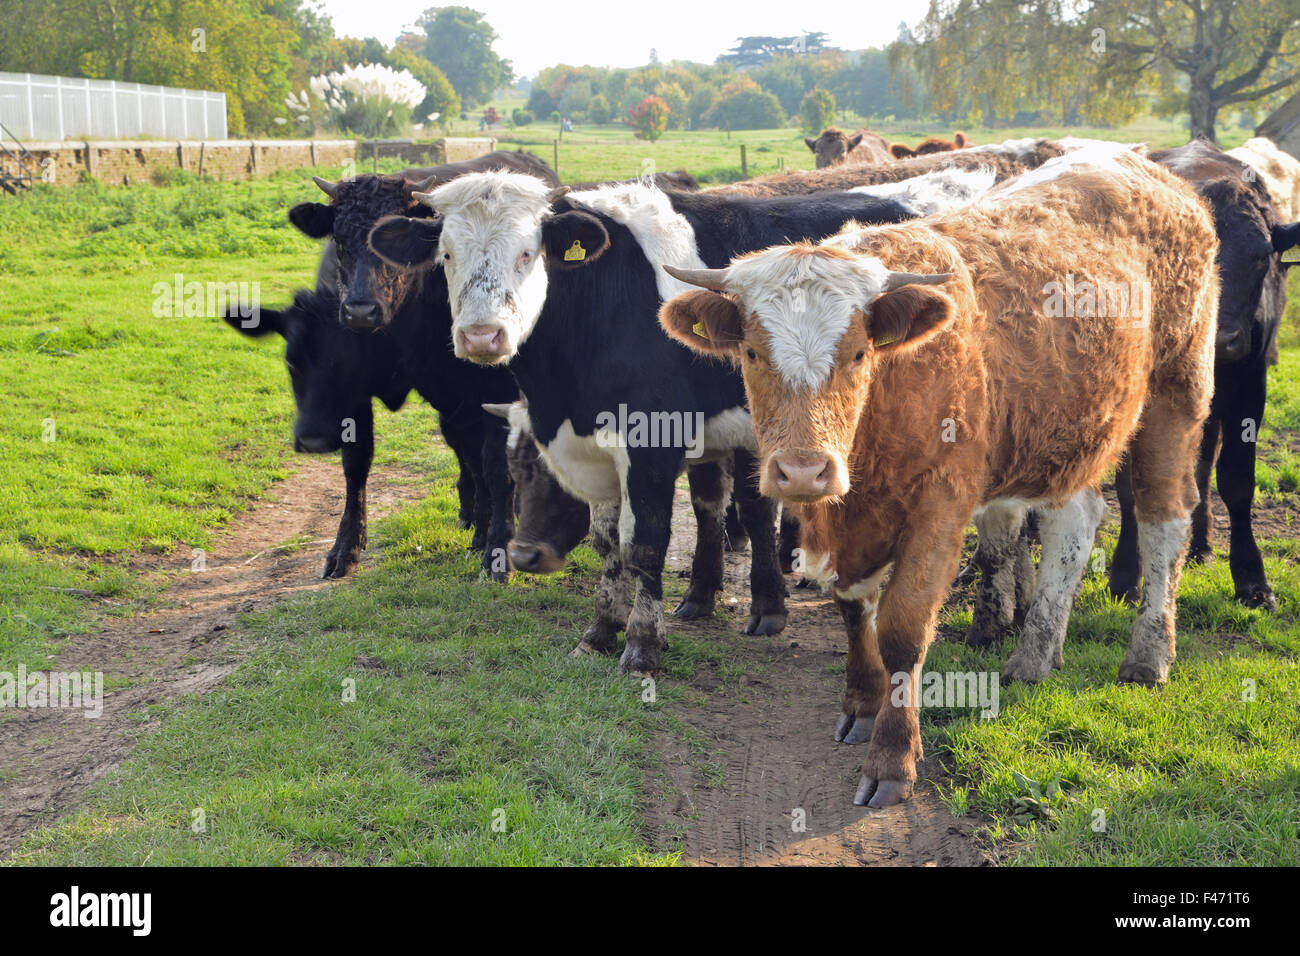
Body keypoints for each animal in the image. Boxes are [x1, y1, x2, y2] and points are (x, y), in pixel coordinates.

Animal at [366, 166, 993, 671]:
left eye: (527, 252)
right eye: (447, 255)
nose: (481, 336)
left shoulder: (652, 441)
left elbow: (645, 542)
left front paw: (642, 645)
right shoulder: (597, 447)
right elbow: (609, 541)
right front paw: (601, 632)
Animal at [660, 147, 1216, 806]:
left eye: (858, 354)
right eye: (750, 353)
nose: (803, 470)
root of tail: (1144, 167)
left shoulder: (939, 508)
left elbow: (902, 629)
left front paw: (892, 760)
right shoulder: (847, 529)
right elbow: (855, 612)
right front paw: (862, 705)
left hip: (1176, 394)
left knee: (1165, 519)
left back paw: (1149, 656)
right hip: (1067, 428)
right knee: (1076, 527)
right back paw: (1036, 654)